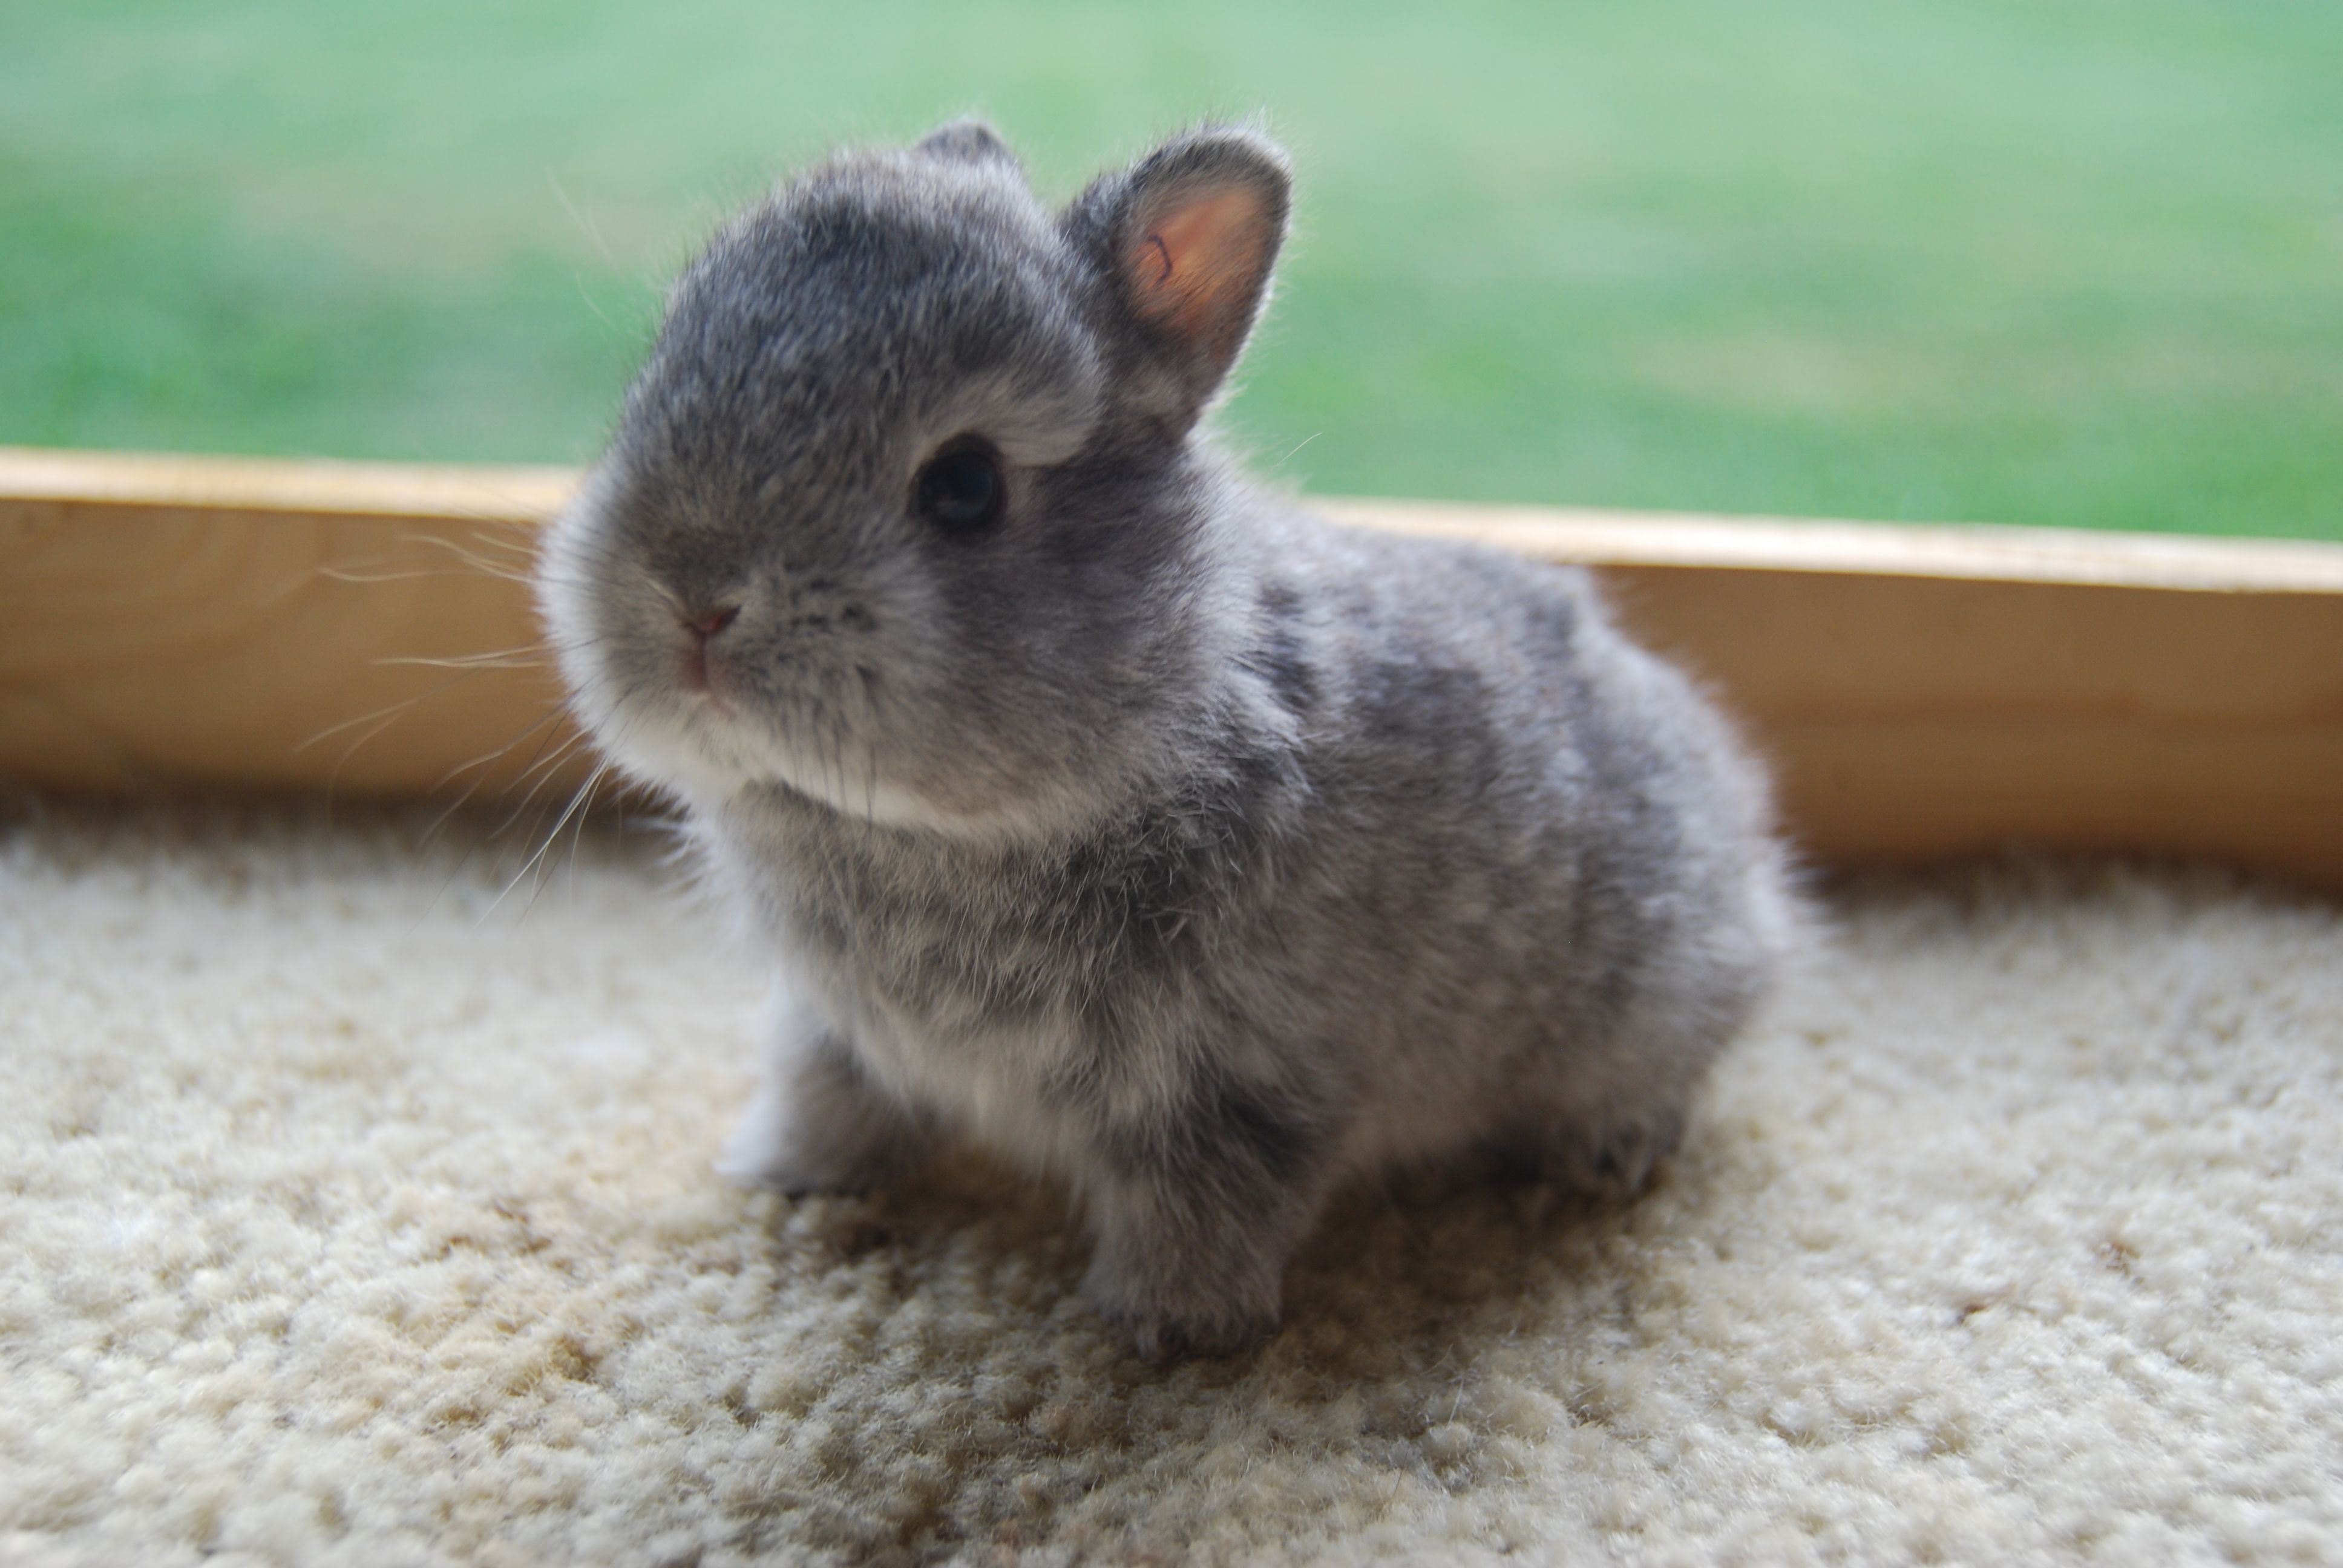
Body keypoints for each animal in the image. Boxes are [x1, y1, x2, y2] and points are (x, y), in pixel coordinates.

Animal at [535, 120, 1794, 1359]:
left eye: (965, 485)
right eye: (657, 378)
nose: (694, 601)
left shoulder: (1239, 1085)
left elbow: (1207, 1198)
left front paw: (1166, 1329)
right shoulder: (838, 1033)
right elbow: (826, 1094)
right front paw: (784, 1175)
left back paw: (1607, 1151)